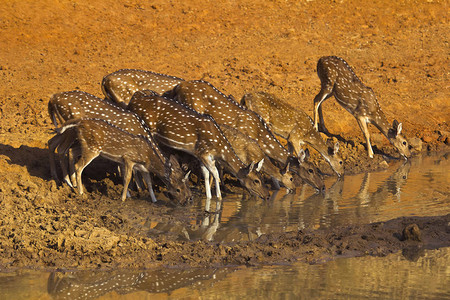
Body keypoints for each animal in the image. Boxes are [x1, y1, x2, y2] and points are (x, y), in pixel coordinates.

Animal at [46, 91, 191, 204]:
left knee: (55, 144)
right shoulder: (127, 156)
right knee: (65, 152)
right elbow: (129, 175)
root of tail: (52, 99)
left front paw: (144, 195)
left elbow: (140, 177)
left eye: (188, 184)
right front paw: (131, 193)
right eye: (178, 188)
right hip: (78, 137)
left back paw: (65, 180)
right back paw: (74, 187)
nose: (188, 199)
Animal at [126, 90, 268, 210]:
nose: (266, 195)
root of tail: (132, 101)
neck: (219, 148)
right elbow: (215, 173)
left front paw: (209, 197)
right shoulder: (203, 152)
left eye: (262, 178)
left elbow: (206, 174)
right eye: (257, 181)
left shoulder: (201, 155)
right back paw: (140, 189)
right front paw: (219, 198)